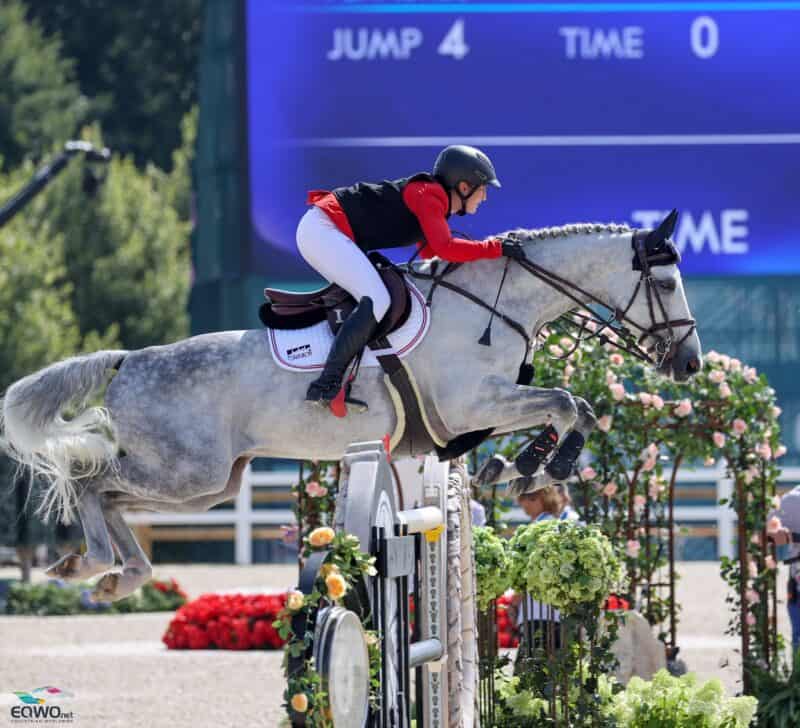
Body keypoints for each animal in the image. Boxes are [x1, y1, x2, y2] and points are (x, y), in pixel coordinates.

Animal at [0, 213, 700, 600]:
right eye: (666, 282)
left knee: (112, 495)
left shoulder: (475, 412)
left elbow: (563, 407)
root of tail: (130, 360)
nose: (689, 363)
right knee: (92, 481)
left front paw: (518, 467)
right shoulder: (473, 402)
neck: (496, 304)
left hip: (208, 484)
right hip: (184, 471)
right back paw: (93, 564)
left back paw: (119, 574)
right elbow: (566, 402)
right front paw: (544, 465)